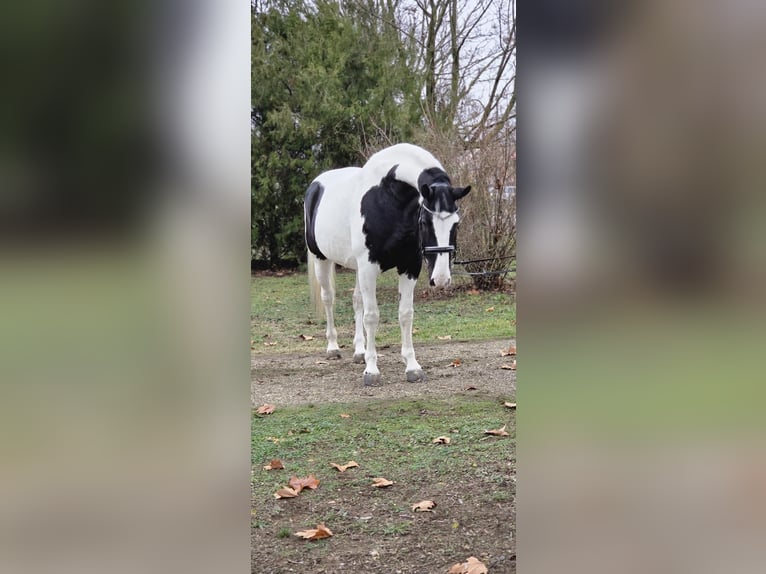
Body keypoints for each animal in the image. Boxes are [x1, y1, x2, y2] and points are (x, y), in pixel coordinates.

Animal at [304, 143, 471, 386]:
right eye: (424, 221)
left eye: (456, 224)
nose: (440, 279)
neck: (390, 198)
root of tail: (316, 185)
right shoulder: (369, 267)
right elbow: (372, 316)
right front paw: (372, 371)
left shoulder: (410, 266)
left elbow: (405, 314)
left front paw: (412, 366)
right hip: (322, 259)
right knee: (328, 299)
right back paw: (333, 347)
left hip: (356, 268)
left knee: (357, 301)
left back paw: (359, 351)